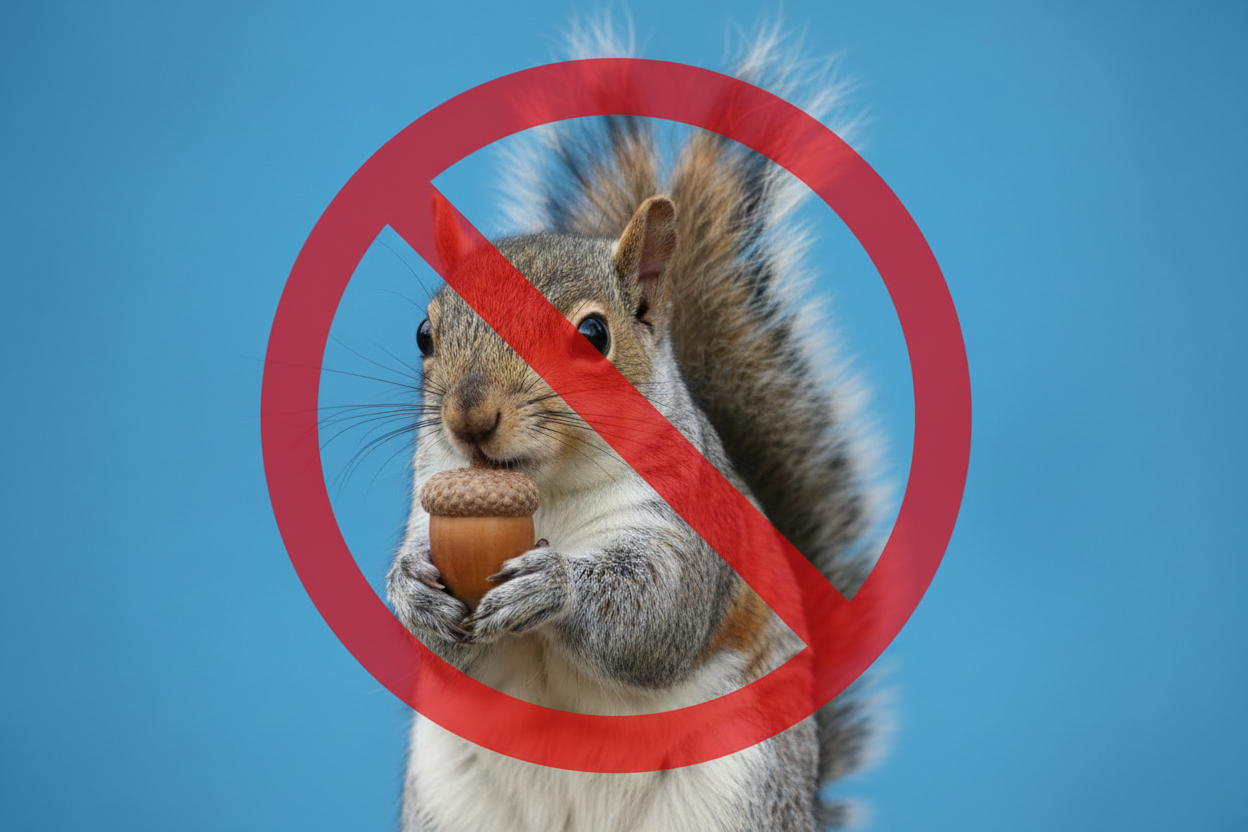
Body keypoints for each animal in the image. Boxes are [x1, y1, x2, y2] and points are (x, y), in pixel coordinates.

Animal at [385, 25, 881, 832]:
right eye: (425, 334)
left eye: (594, 335)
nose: (470, 417)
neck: (543, 496)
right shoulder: (429, 499)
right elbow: (429, 639)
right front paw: (415, 591)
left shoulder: (689, 529)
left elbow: (655, 617)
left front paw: (552, 585)